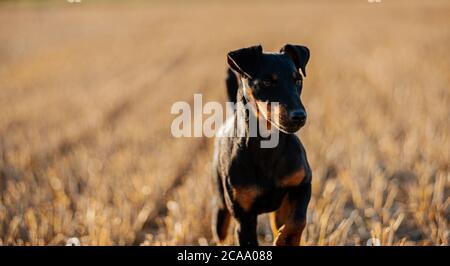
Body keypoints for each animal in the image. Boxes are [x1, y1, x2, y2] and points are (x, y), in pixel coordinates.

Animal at [212, 44, 312, 246]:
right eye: (266, 82)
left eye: (297, 80)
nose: (299, 116)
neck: (267, 147)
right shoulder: (244, 219)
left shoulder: (304, 182)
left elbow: (298, 219)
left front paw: (285, 239)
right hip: (221, 205)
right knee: (220, 231)